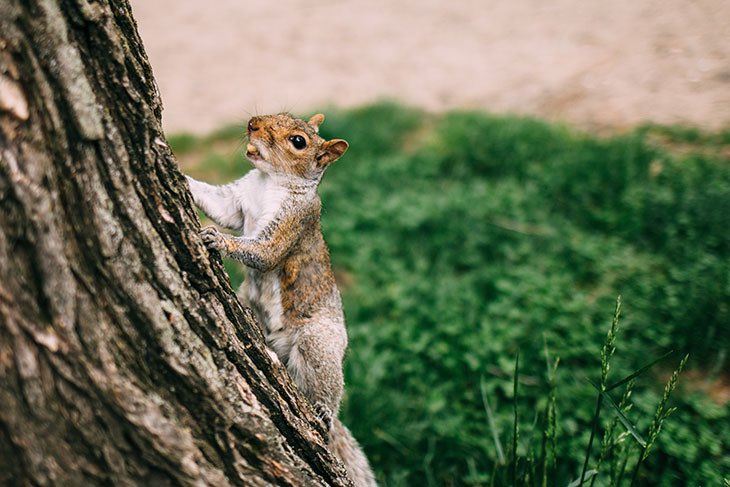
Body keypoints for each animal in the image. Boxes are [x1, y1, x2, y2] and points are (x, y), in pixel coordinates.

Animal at [185, 112, 377, 486]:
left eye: (298, 141)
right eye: (280, 114)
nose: (253, 123)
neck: (268, 181)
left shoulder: (293, 220)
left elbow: (264, 251)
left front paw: (219, 240)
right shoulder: (237, 199)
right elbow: (218, 204)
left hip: (317, 342)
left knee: (327, 384)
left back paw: (323, 412)